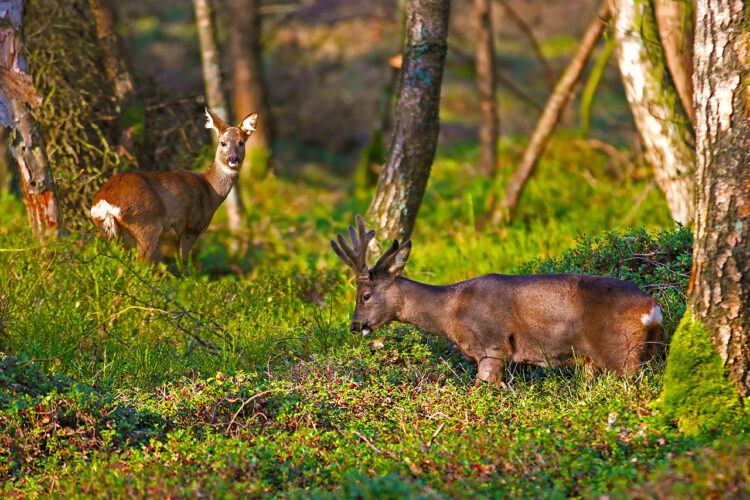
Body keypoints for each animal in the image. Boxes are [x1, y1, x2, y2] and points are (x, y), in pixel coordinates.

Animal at [89, 108, 256, 264]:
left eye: (241, 143)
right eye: (223, 143)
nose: (233, 158)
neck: (210, 191)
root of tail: (104, 201)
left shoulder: (174, 236)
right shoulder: (191, 228)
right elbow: (183, 267)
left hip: (112, 233)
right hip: (146, 225)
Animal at [334, 214, 664, 382]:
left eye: (365, 295)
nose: (354, 326)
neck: (450, 310)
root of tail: (652, 309)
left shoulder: (491, 347)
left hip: (621, 352)